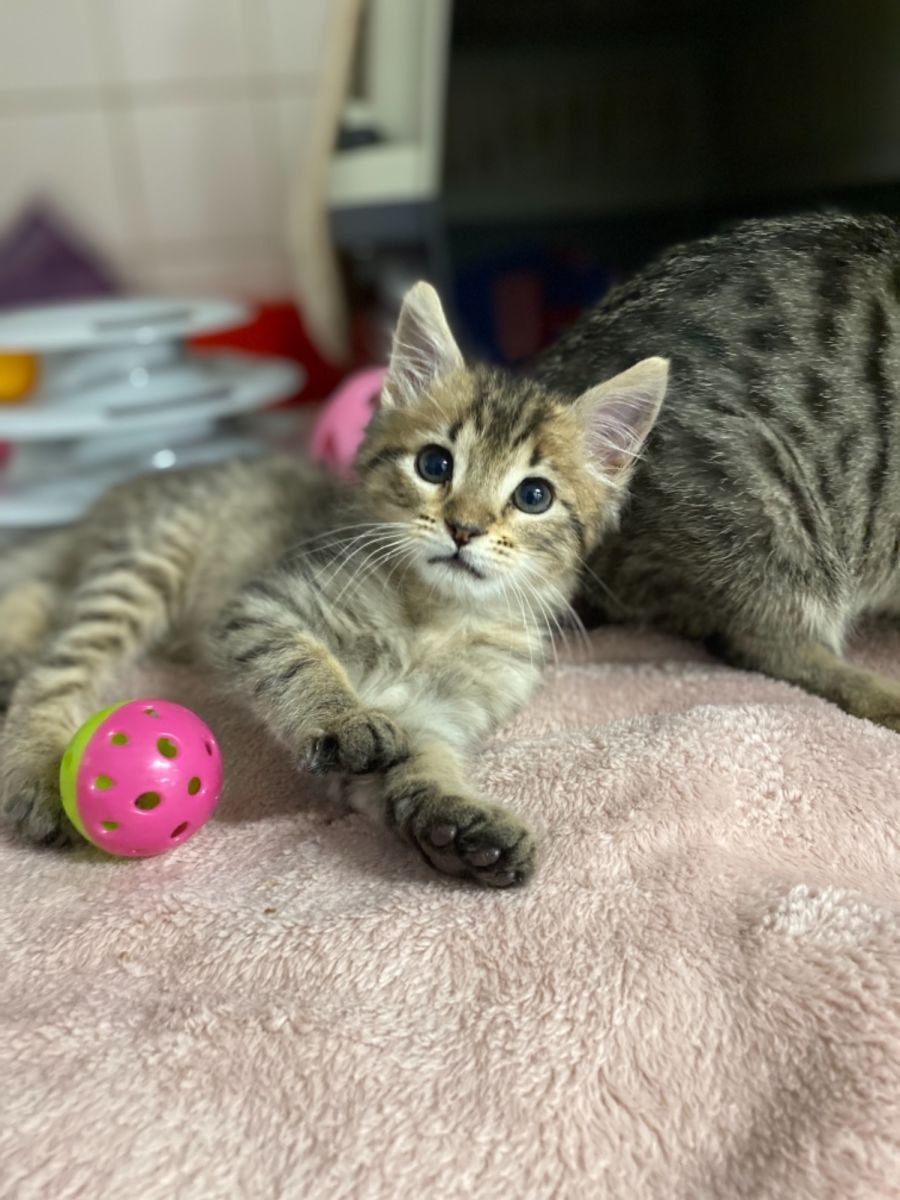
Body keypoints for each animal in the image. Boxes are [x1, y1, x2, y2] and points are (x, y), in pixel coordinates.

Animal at [0, 283, 668, 886]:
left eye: (534, 496)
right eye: (434, 465)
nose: (464, 528)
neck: (434, 618)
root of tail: (110, 500)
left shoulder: (438, 715)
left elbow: (421, 765)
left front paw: (460, 824)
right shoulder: (264, 605)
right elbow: (302, 662)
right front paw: (343, 716)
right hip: (143, 566)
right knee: (57, 666)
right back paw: (34, 767)